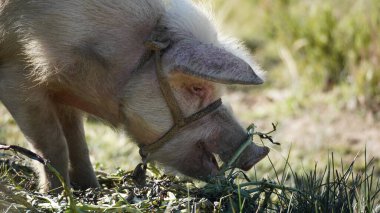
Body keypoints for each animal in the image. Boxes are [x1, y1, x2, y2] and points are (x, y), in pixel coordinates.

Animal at [0, 0, 270, 192]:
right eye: (196, 89)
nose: (260, 152)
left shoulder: (61, 93)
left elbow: (78, 143)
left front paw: (92, 190)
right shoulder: (16, 76)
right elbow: (53, 144)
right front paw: (57, 194)